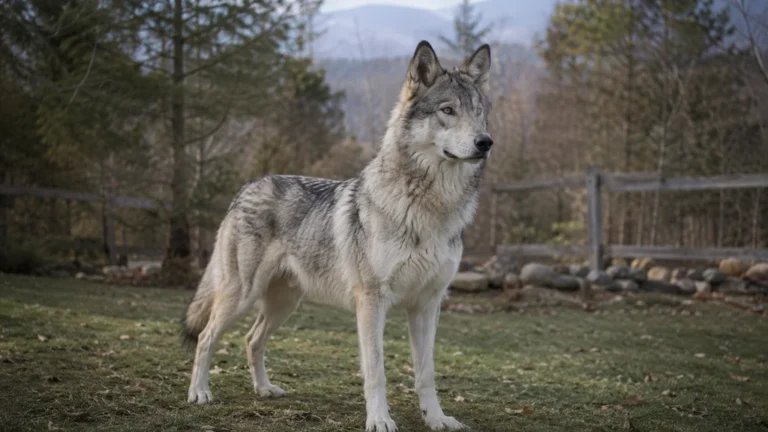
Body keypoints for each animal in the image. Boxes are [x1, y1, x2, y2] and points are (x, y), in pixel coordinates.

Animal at [182, 40, 493, 431]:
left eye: (478, 113)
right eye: (448, 111)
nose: (486, 142)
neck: (431, 208)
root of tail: (248, 185)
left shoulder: (428, 304)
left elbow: (426, 373)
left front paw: (436, 419)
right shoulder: (371, 302)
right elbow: (376, 370)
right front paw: (380, 420)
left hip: (284, 304)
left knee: (252, 340)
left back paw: (264, 390)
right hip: (241, 296)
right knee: (206, 337)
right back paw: (199, 393)